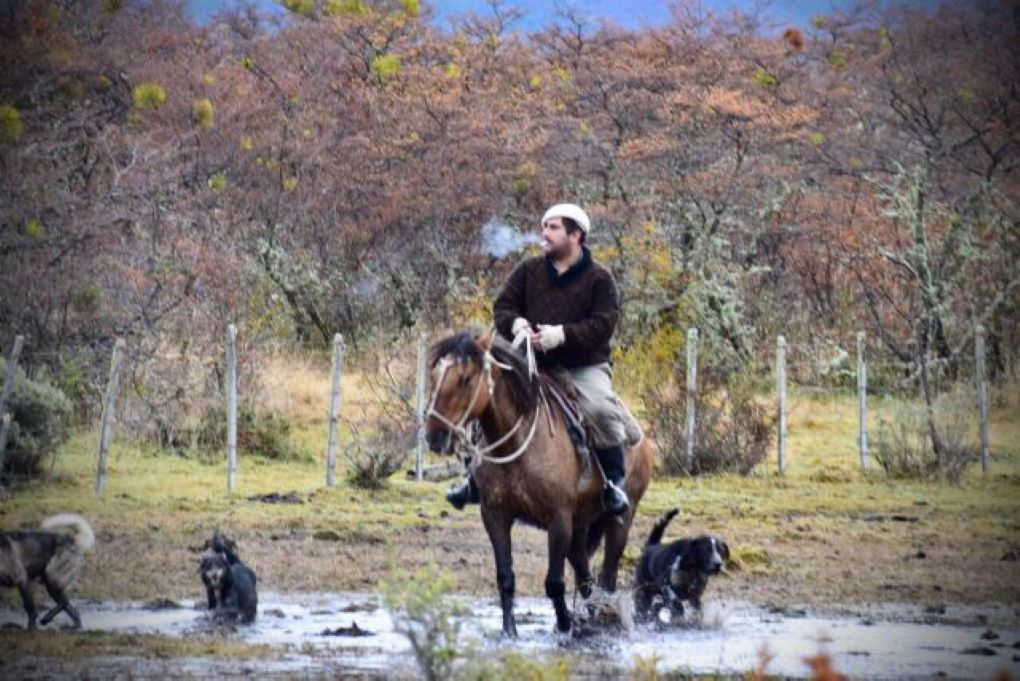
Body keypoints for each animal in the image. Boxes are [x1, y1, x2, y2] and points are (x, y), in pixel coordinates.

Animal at [424, 326, 652, 636]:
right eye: (435, 375)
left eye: (465, 378)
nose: (435, 436)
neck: (518, 445)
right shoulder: (495, 516)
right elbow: (505, 577)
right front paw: (510, 631)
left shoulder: (558, 520)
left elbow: (554, 582)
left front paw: (565, 625)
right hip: (580, 525)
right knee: (584, 573)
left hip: (619, 520)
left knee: (607, 574)